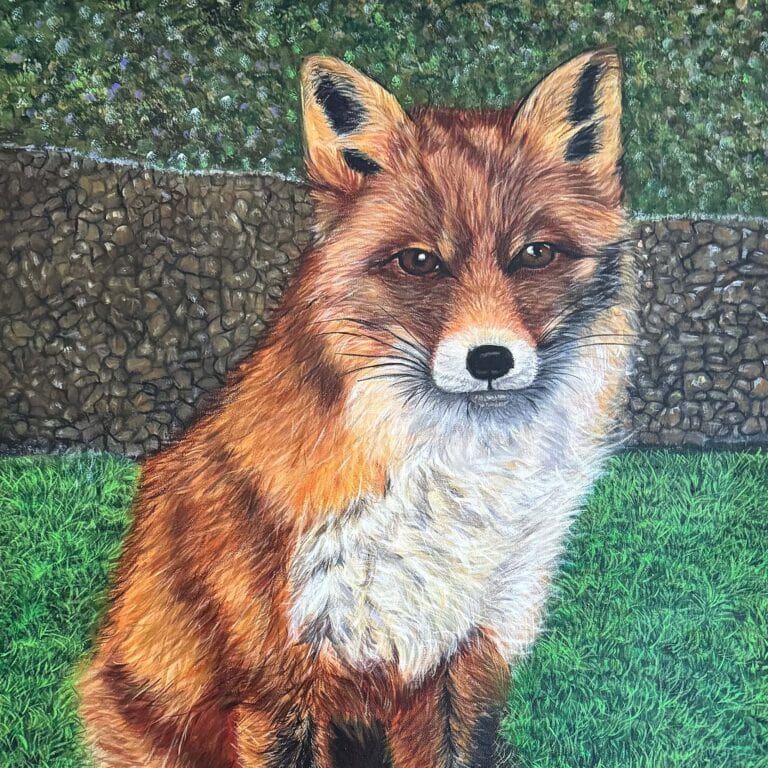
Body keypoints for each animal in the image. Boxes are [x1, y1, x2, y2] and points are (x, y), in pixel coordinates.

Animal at [78, 48, 635, 768]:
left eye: (535, 253)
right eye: (419, 261)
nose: (490, 360)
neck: (453, 491)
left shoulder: (463, 660)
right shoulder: (279, 683)